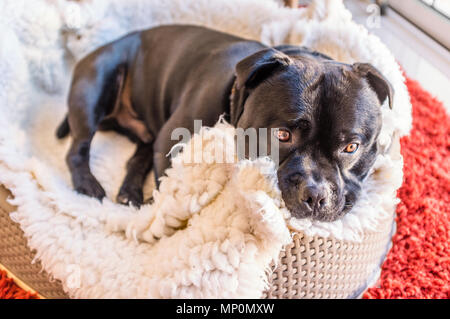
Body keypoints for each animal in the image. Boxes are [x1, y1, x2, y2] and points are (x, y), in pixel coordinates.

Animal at [57, 25, 394, 221]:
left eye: (351, 147)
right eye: (282, 135)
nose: (315, 195)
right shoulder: (171, 143)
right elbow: (170, 185)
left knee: (139, 154)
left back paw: (130, 192)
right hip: (94, 88)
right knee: (77, 149)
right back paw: (89, 185)